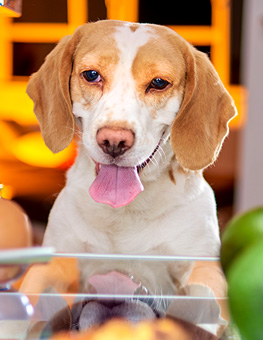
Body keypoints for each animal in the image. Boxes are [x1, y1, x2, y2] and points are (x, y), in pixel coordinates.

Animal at [19, 19, 237, 338]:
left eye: (158, 83)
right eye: (92, 75)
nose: (114, 140)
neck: (123, 216)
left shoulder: (203, 267)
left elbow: (202, 297)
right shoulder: (55, 265)